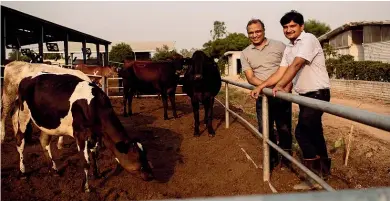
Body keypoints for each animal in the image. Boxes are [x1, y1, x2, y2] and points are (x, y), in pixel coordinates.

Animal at [13, 72, 154, 192]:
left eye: (145, 154)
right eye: (136, 157)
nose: (150, 175)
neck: (93, 104)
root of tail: (27, 78)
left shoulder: (95, 134)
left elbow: (95, 153)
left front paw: (97, 174)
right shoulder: (80, 134)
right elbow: (86, 162)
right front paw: (85, 187)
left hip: (48, 122)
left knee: (44, 141)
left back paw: (54, 170)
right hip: (23, 114)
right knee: (20, 142)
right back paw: (22, 172)